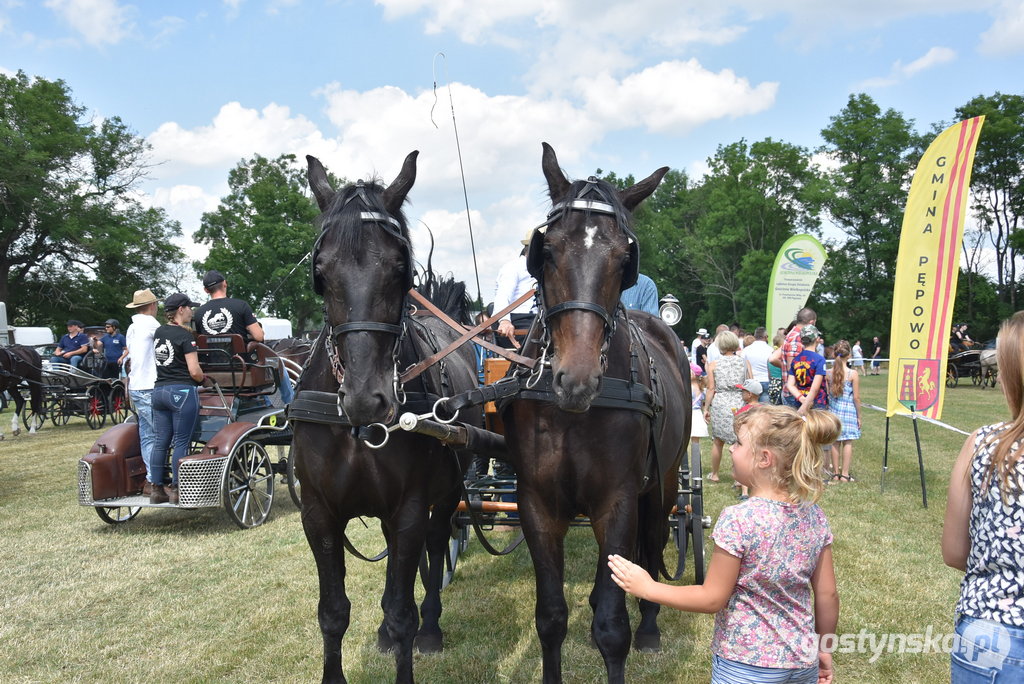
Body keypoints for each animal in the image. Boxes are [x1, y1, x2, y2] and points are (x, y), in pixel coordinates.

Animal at [292, 152, 483, 679]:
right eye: (321, 269)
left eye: (401, 268)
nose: (366, 398)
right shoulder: (318, 514)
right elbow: (333, 612)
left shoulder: (411, 509)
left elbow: (403, 612)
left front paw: (413, 633)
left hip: (448, 493)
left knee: (436, 547)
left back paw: (432, 627)